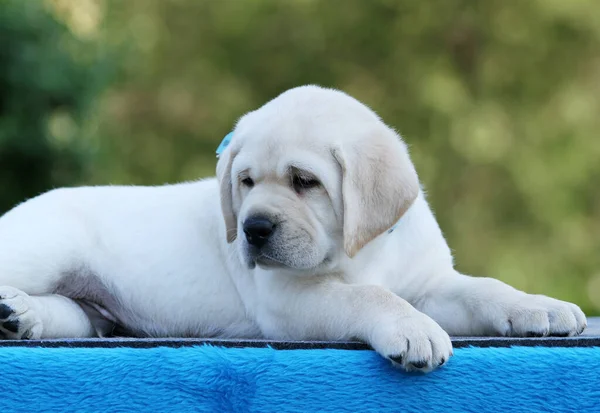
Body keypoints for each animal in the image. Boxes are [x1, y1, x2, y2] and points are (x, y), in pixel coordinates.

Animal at [0, 86, 584, 370]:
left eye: (305, 182)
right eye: (246, 181)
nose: (253, 229)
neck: (358, 252)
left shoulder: (431, 284)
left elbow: (486, 288)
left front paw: (541, 307)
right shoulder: (290, 299)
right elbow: (369, 296)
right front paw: (411, 329)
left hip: (88, 310)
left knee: (72, 315)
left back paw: (20, 315)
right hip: (47, 246)